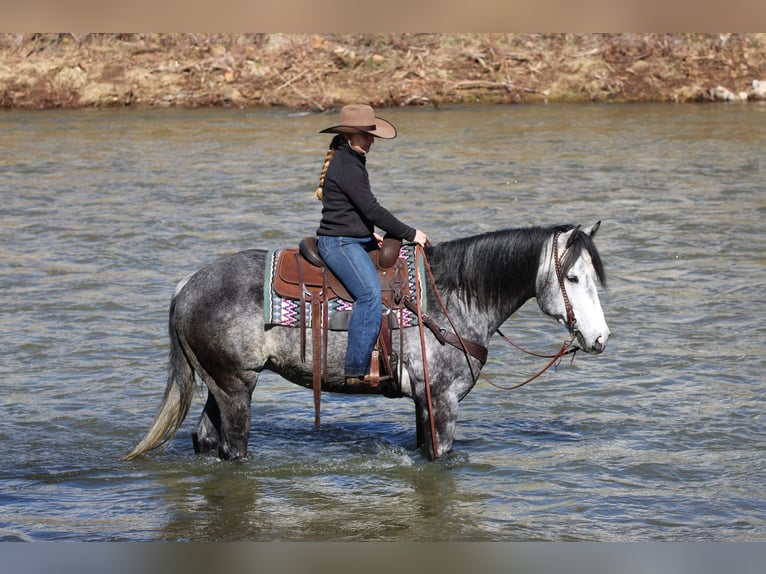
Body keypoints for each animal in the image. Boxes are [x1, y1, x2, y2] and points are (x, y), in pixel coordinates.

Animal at [123, 222, 609, 461]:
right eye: (572, 277)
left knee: (205, 440)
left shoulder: (424, 402)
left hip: (220, 385)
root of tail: (187, 285)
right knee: (233, 447)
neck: (453, 296)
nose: (600, 338)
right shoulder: (443, 400)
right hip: (235, 388)